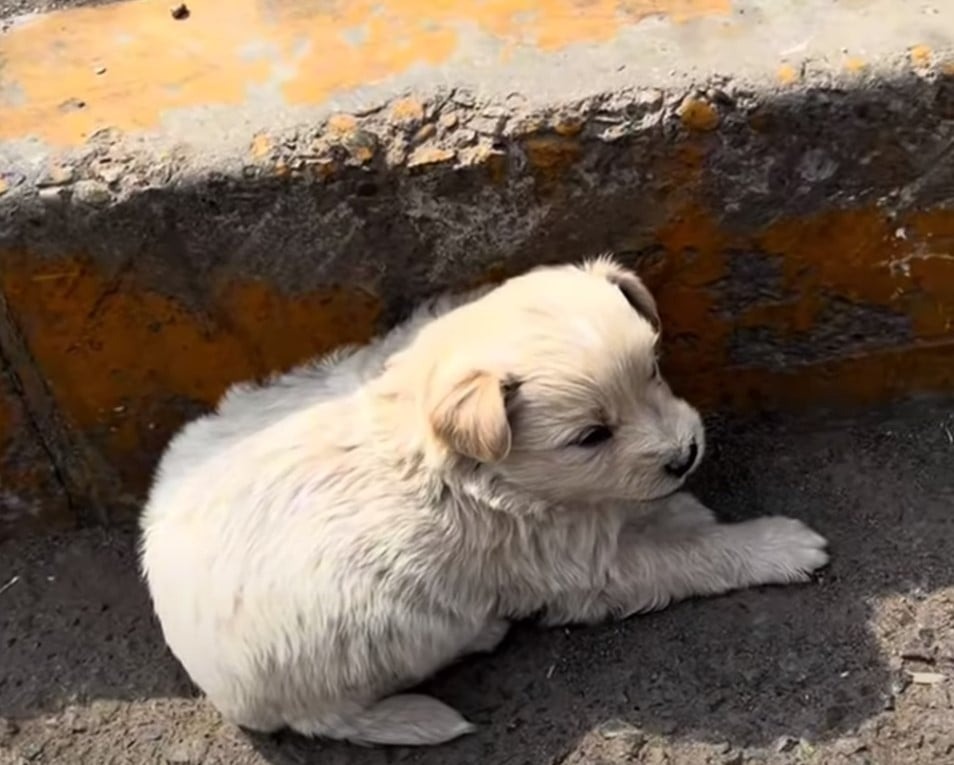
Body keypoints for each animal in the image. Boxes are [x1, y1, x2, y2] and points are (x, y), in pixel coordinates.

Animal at [139, 256, 824, 748]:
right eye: (591, 436)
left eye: (654, 370)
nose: (686, 454)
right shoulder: (582, 570)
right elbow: (690, 557)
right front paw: (777, 545)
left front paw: (671, 507)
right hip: (375, 641)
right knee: (334, 716)